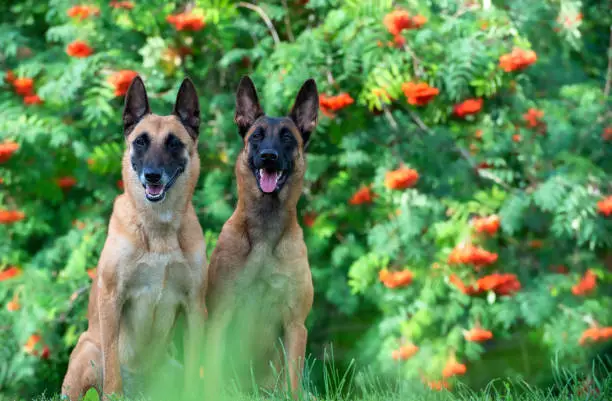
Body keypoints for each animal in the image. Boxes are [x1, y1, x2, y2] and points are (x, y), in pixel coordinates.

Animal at [60, 76, 208, 398]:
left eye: (174, 143)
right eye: (140, 141)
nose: (152, 175)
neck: (158, 228)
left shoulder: (194, 304)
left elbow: (196, 367)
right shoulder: (112, 298)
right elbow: (113, 364)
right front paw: (114, 395)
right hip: (87, 351)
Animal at [206, 76, 318, 396]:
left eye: (288, 138)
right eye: (256, 136)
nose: (269, 156)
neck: (266, 238)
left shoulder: (295, 325)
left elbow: (293, 384)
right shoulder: (219, 318)